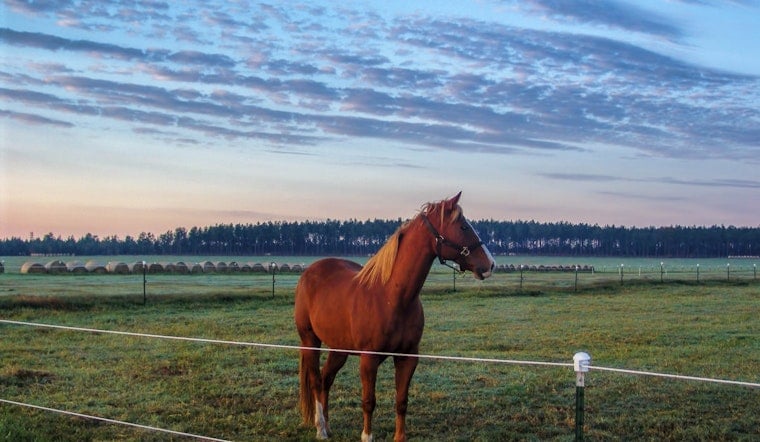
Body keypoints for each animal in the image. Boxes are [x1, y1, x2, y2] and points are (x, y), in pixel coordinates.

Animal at [294, 192, 495, 441]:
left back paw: (328, 426)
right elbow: (369, 402)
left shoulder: (408, 357)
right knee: (315, 380)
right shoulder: (369, 359)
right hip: (310, 340)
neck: (392, 297)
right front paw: (367, 436)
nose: (490, 264)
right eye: (463, 227)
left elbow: (401, 401)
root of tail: (309, 272)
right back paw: (321, 428)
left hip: (339, 347)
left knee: (326, 379)